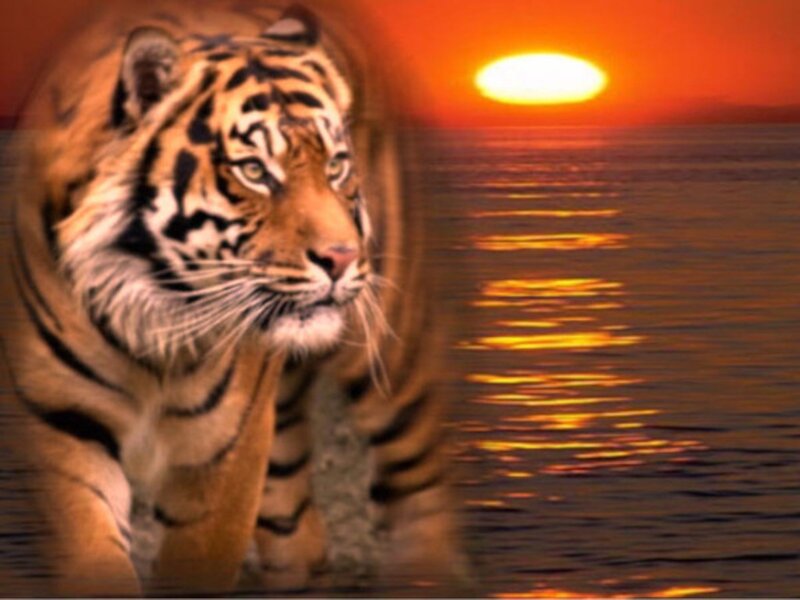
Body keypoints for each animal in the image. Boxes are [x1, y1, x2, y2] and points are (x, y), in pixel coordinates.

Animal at [0, 0, 463, 596]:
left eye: (335, 164)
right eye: (254, 171)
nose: (341, 259)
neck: (150, 322)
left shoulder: (224, 452)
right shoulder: (61, 426)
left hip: (391, 356)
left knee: (419, 482)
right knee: (298, 529)